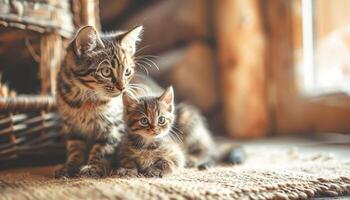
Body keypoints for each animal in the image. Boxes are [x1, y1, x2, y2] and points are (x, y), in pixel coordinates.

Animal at [53, 25, 144, 178]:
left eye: (127, 72)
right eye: (106, 72)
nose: (123, 88)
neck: (85, 99)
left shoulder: (113, 126)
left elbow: (102, 149)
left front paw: (93, 167)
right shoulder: (72, 128)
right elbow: (75, 150)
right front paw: (69, 166)